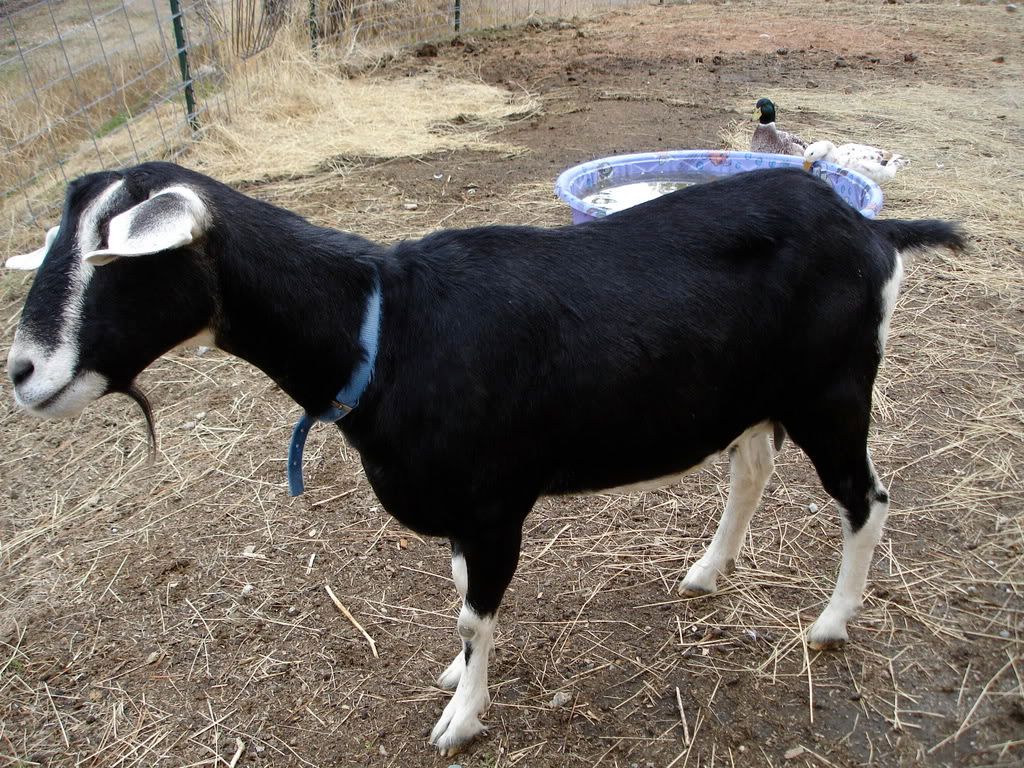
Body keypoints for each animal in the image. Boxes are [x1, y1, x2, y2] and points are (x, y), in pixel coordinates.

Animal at [5, 161, 963, 754]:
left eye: (116, 257)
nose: (22, 372)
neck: (385, 327)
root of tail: (872, 230)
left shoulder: (496, 503)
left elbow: (476, 612)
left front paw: (461, 720)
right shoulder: (463, 515)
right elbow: (464, 597)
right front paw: (457, 677)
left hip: (833, 392)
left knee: (866, 498)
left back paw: (831, 624)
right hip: (758, 397)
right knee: (752, 471)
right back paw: (706, 573)